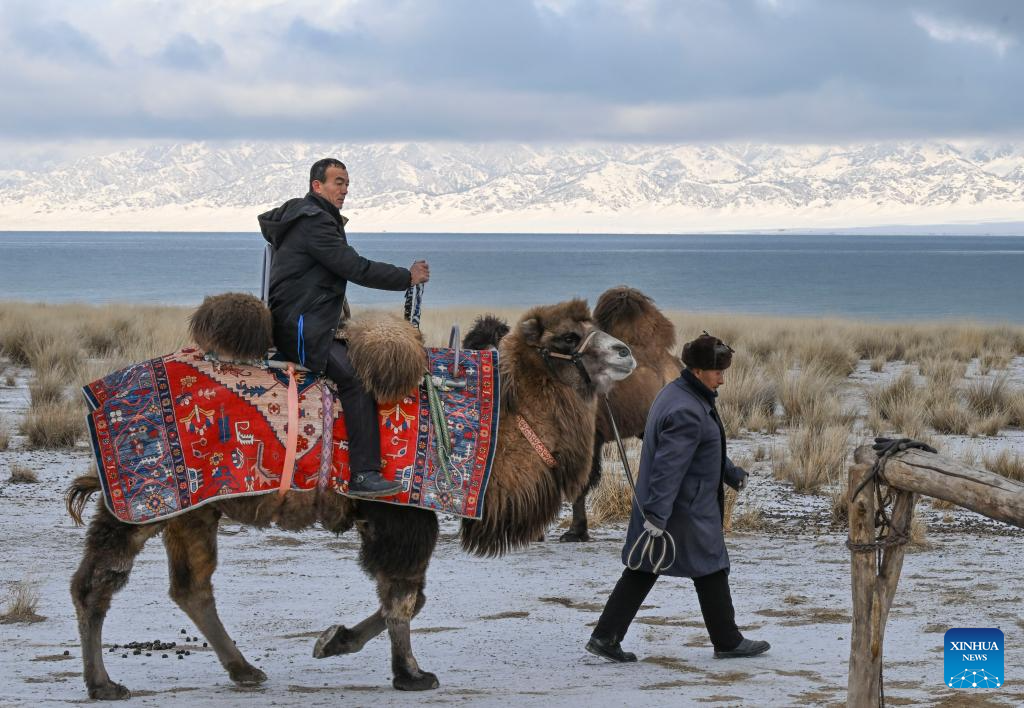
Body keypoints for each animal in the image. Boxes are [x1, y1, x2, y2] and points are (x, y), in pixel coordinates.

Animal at [66, 297, 635, 700]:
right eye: (569, 336)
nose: (625, 352)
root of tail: (98, 398)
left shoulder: (390, 519)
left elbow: (406, 597)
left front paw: (334, 640)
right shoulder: (404, 512)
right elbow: (403, 596)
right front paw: (411, 673)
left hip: (194, 510)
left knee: (192, 587)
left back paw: (244, 670)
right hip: (143, 501)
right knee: (98, 580)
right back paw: (103, 684)